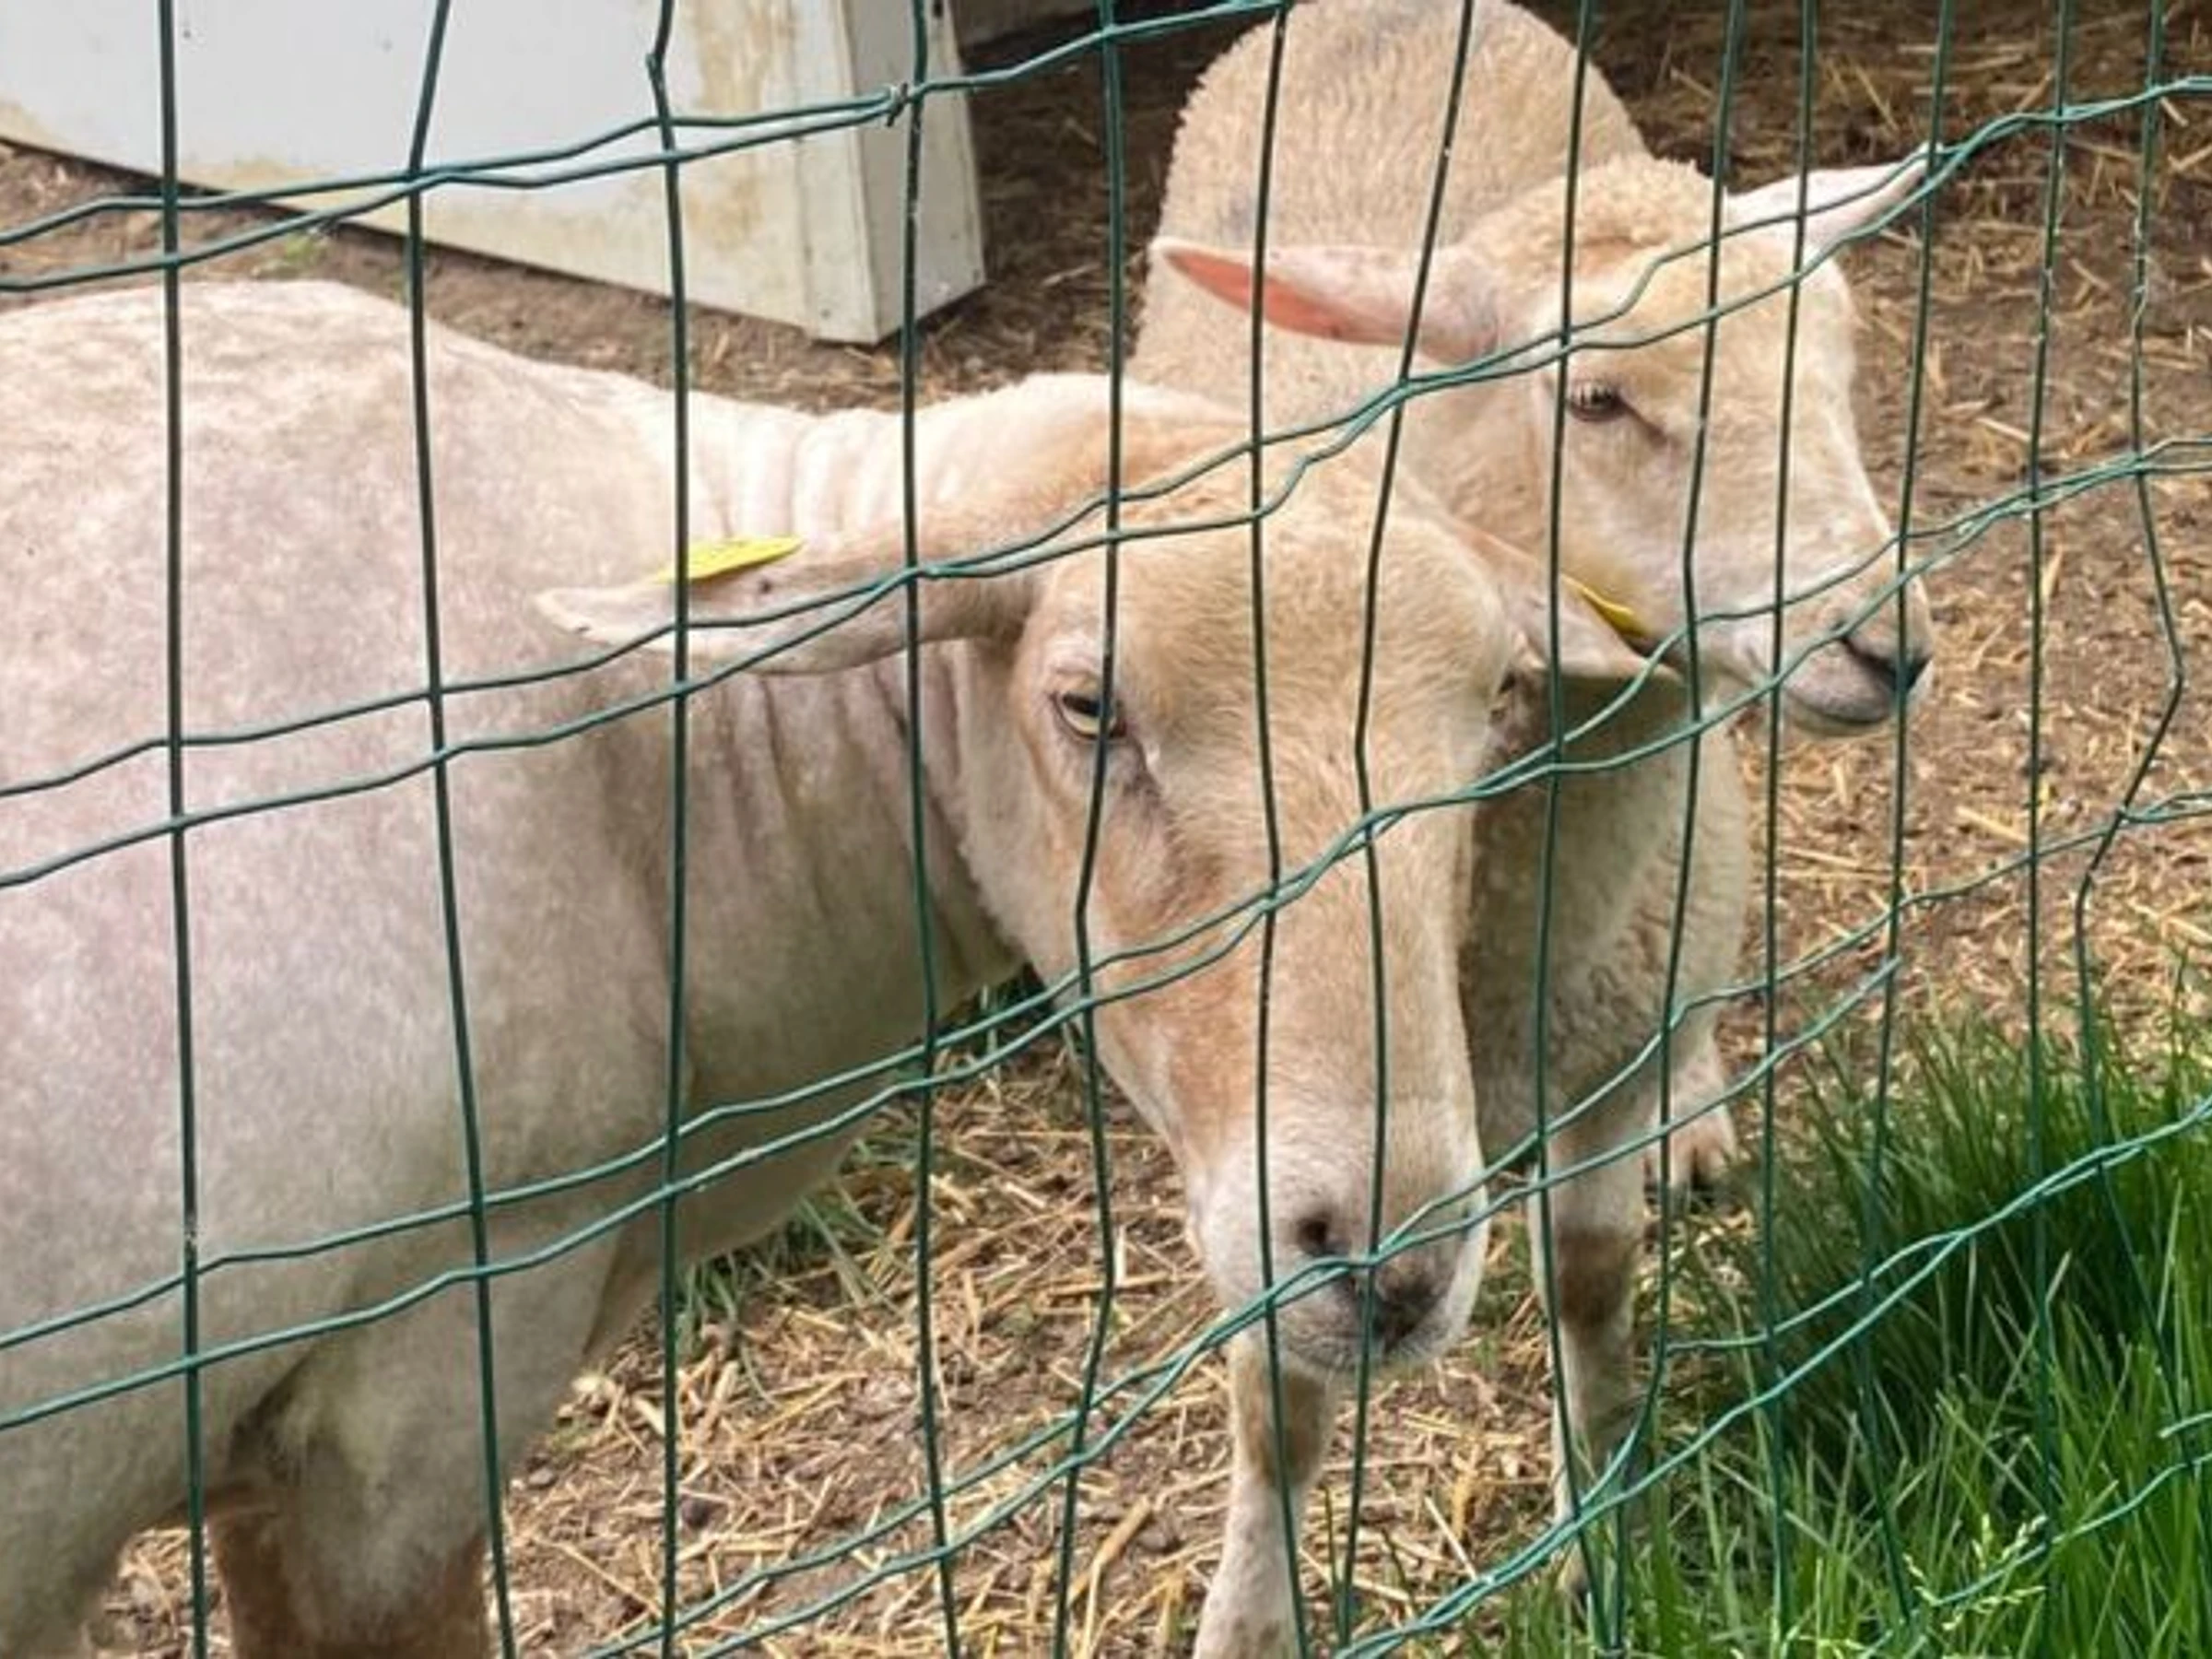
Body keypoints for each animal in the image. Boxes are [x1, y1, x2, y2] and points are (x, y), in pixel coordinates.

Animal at [1129, 1, 1938, 1648]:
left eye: (1836, 362)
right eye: (1597, 399)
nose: (1888, 643)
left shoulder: (1606, 1021)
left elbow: (1592, 1283)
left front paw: (1600, 1539)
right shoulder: (1264, 1136)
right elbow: (1275, 1404)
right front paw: (1251, 1613)